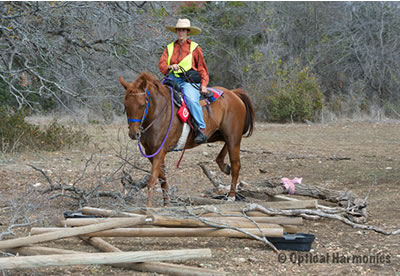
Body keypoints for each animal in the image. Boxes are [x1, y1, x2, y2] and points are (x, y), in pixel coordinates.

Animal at [120, 72, 255, 206]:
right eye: (126, 105)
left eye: (142, 105)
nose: (134, 134)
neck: (158, 113)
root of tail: (233, 93)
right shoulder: (151, 153)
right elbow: (163, 179)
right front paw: (166, 204)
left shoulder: (159, 152)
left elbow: (152, 180)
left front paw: (149, 207)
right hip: (219, 135)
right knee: (224, 153)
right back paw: (224, 166)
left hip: (233, 137)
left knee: (236, 164)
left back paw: (231, 195)